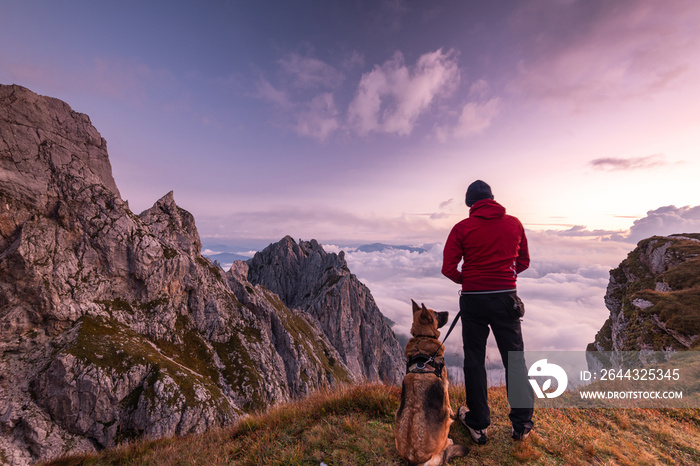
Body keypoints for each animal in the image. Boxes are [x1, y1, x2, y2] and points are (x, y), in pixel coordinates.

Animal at [394, 300, 470, 464]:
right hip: (444, 426)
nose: (448, 312)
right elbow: (449, 404)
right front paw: (455, 414)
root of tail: (414, 459)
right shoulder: (445, 384)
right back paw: (449, 441)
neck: (422, 337)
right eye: (435, 313)